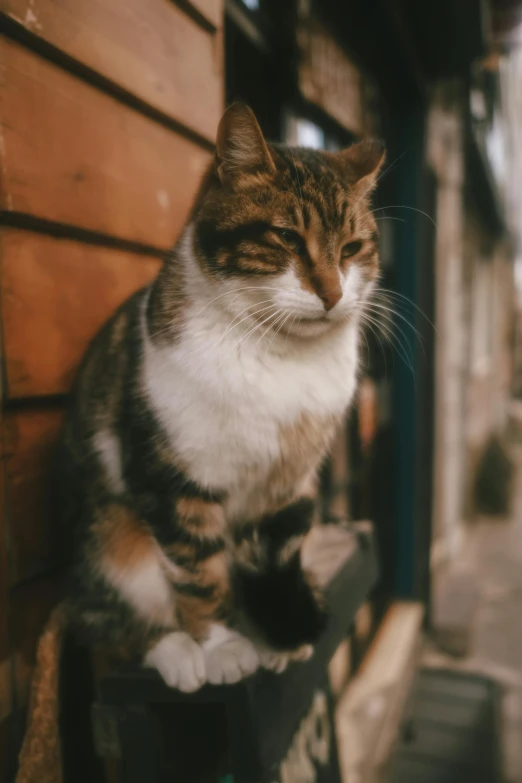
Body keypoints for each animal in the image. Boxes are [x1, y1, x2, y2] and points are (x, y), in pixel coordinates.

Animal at [15, 104, 382, 783]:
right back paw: (176, 652)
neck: (282, 357)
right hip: (111, 537)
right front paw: (220, 644)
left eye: (352, 248)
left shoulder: (289, 483)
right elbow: (197, 569)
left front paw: (273, 632)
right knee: (108, 623)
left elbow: (275, 548)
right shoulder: (170, 478)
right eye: (285, 237)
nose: (333, 292)